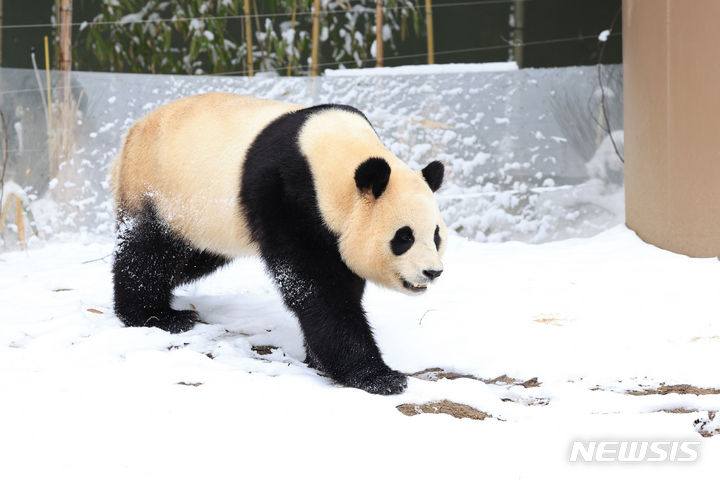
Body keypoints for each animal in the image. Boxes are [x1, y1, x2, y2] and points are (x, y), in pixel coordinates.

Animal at [110, 93, 448, 394]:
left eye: (435, 235)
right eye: (404, 237)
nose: (432, 272)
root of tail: (132, 132)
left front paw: (320, 360)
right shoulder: (287, 194)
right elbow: (316, 290)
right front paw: (380, 378)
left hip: (205, 222)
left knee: (190, 258)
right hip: (159, 187)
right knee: (150, 253)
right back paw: (157, 316)